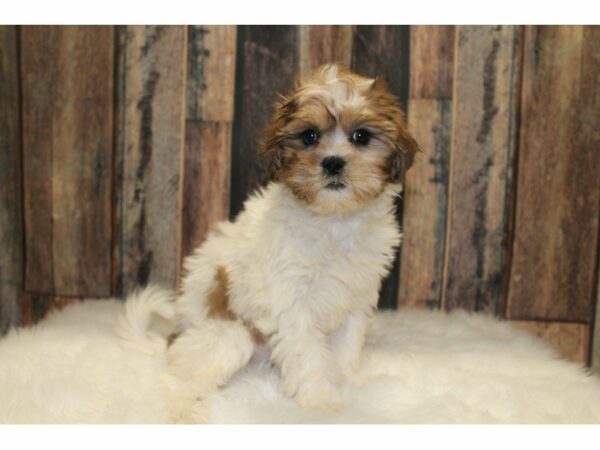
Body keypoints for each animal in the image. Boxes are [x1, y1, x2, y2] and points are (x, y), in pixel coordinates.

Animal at [166, 63, 420, 414]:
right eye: (309, 136)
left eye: (361, 136)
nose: (333, 162)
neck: (333, 220)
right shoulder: (290, 300)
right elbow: (308, 353)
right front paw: (322, 400)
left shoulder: (355, 295)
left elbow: (346, 344)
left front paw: (347, 385)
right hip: (228, 336)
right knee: (185, 376)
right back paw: (184, 408)